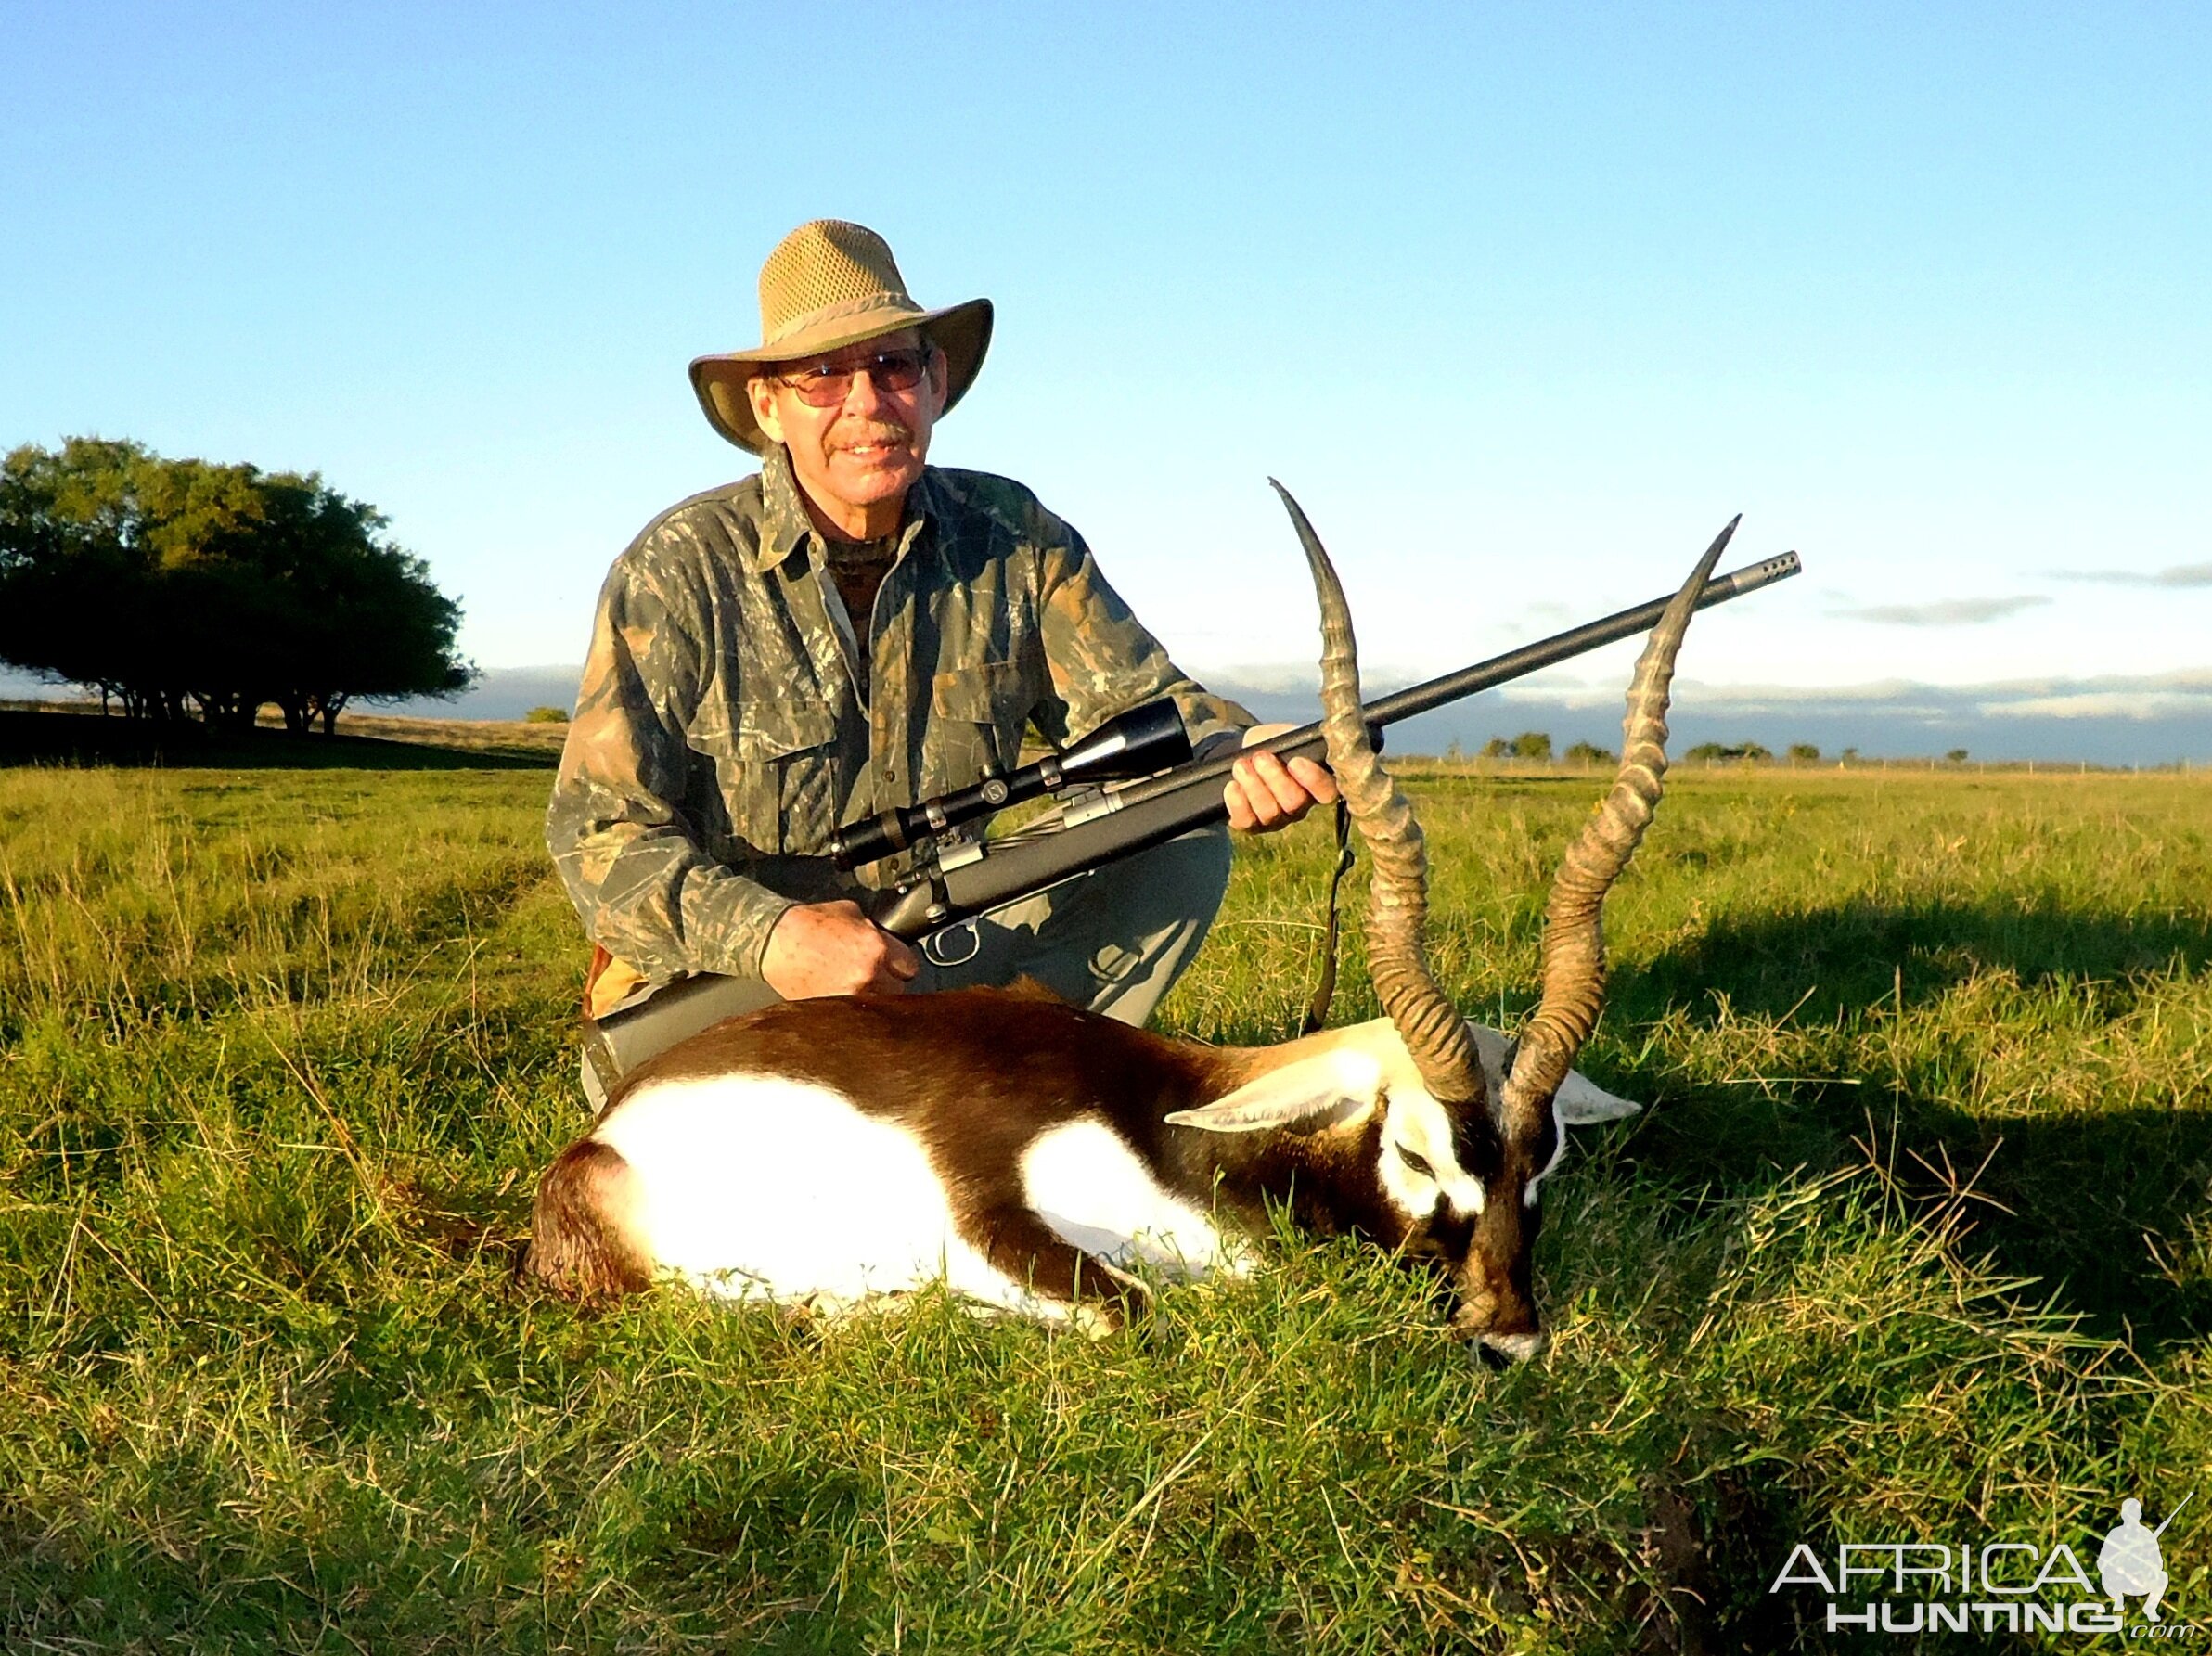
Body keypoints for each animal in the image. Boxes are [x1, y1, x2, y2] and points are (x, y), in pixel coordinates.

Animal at [534, 488, 1725, 1353]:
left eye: (1545, 1160)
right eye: (1416, 1153)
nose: (1506, 1335)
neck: (1176, 1139)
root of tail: (595, 1142)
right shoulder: (990, 1209)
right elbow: (1137, 1314)